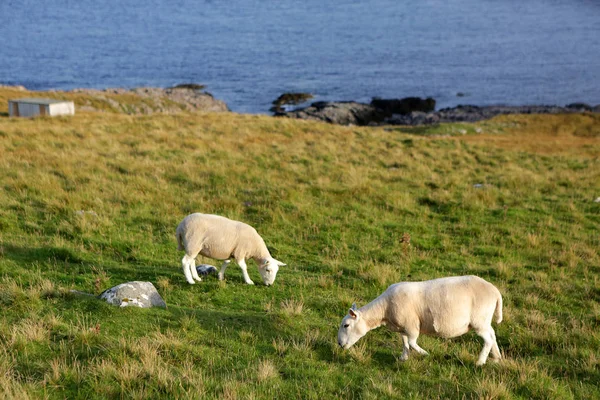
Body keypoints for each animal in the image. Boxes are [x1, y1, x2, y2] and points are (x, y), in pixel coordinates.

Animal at [338, 276, 502, 366]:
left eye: (346, 325)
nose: (339, 344)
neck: (384, 310)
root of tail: (495, 291)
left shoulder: (412, 324)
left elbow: (411, 342)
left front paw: (425, 353)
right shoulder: (403, 327)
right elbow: (404, 342)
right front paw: (403, 358)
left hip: (479, 320)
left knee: (487, 339)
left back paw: (480, 362)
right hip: (485, 320)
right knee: (492, 334)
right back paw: (496, 358)